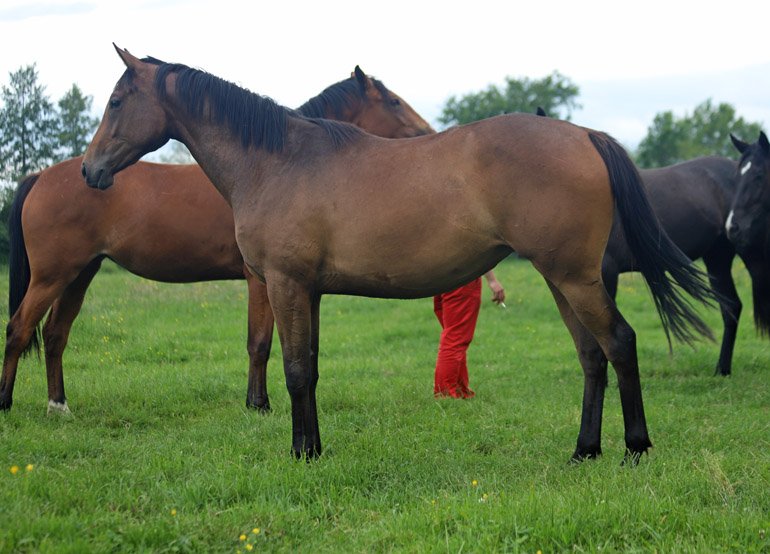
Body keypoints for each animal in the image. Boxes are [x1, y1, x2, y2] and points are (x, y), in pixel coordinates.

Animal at [0, 66, 432, 415]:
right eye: (394, 101)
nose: (428, 132)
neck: (268, 165)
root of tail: (41, 175)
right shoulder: (261, 280)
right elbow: (259, 343)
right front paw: (258, 404)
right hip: (52, 275)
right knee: (19, 328)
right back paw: (6, 403)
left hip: (80, 274)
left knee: (55, 334)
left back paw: (59, 405)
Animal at [81, 46, 717, 464]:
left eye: (115, 100)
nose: (90, 170)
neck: (277, 160)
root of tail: (584, 133)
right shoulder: (307, 291)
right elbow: (310, 368)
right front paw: (315, 447)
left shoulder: (284, 284)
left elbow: (293, 369)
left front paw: (300, 454)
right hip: (563, 279)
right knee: (591, 355)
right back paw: (584, 450)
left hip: (575, 278)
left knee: (620, 344)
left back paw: (635, 448)